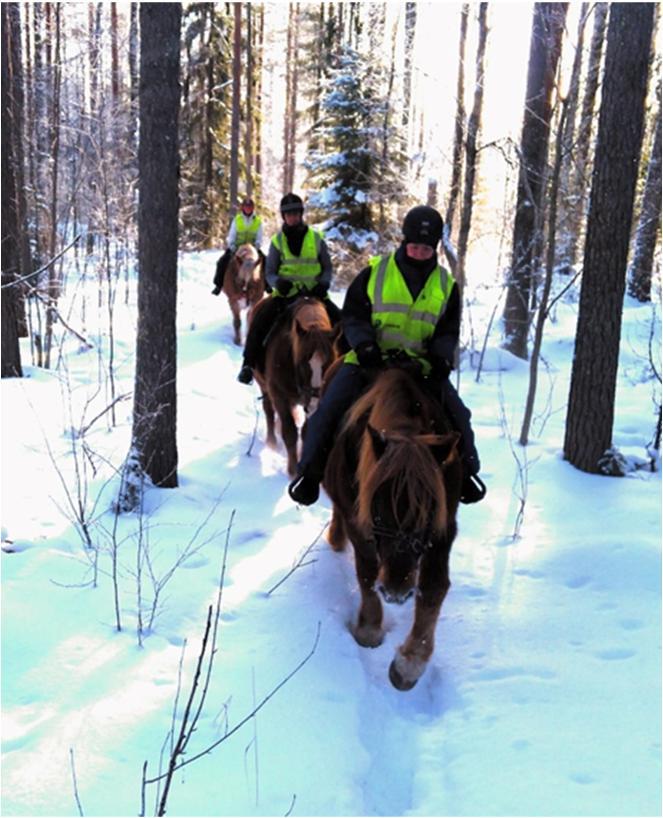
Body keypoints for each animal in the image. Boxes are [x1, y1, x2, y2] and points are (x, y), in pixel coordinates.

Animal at [252, 294, 340, 474]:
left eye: (329, 364)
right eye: (302, 363)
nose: (314, 401)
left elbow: (306, 432)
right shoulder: (280, 396)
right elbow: (290, 432)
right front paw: (292, 470)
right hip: (265, 387)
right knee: (269, 410)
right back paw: (271, 441)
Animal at [326, 366, 462, 692]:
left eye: (430, 510)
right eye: (377, 508)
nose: (397, 592)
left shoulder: (444, 530)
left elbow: (434, 588)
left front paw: (409, 664)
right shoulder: (358, 523)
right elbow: (366, 573)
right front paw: (369, 630)